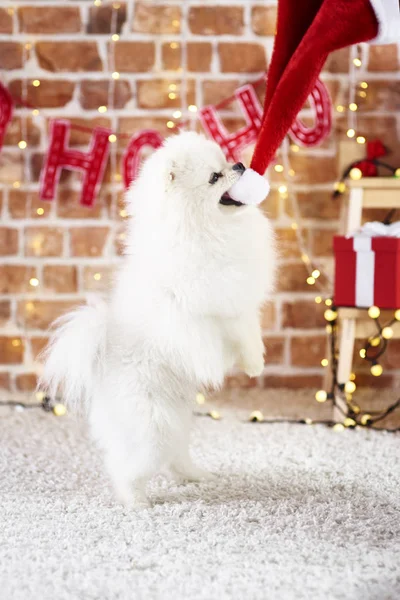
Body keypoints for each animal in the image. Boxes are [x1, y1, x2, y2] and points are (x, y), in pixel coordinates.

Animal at [39, 131, 276, 506]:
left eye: (225, 160)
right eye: (214, 177)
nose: (239, 164)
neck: (204, 230)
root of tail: (100, 363)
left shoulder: (239, 302)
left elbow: (249, 332)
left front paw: (255, 364)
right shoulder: (205, 306)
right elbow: (225, 334)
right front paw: (238, 365)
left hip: (177, 420)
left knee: (175, 458)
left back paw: (196, 476)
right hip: (153, 428)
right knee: (128, 468)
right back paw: (137, 502)